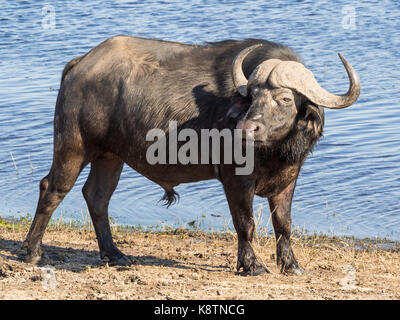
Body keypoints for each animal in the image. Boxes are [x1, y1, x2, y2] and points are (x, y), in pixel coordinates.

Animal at [23, 35, 360, 276]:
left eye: (285, 98)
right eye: (252, 96)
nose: (246, 128)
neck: (272, 152)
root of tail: (81, 64)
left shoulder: (288, 180)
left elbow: (284, 225)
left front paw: (291, 266)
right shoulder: (235, 181)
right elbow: (246, 224)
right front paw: (251, 265)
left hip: (110, 156)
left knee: (97, 196)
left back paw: (114, 253)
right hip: (73, 146)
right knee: (52, 189)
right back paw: (34, 251)